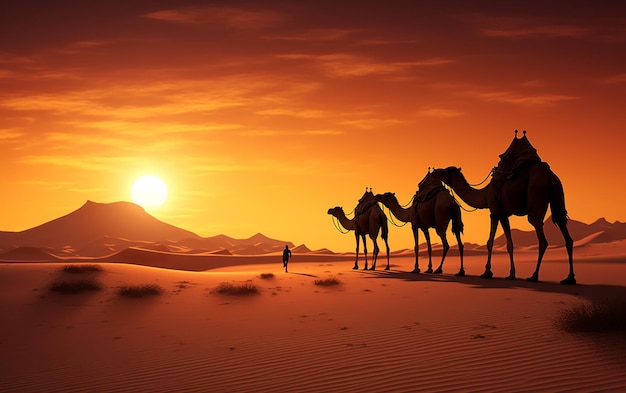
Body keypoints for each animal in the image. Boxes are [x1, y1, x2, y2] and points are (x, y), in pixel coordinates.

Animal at [432, 133, 572, 284]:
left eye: (443, 172)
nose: (434, 172)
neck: (485, 194)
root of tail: (550, 177)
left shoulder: (494, 212)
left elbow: (490, 241)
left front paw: (487, 272)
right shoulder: (504, 215)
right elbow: (510, 244)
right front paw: (511, 274)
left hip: (536, 195)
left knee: (542, 237)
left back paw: (534, 276)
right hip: (558, 193)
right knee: (564, 229)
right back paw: (569, 278)